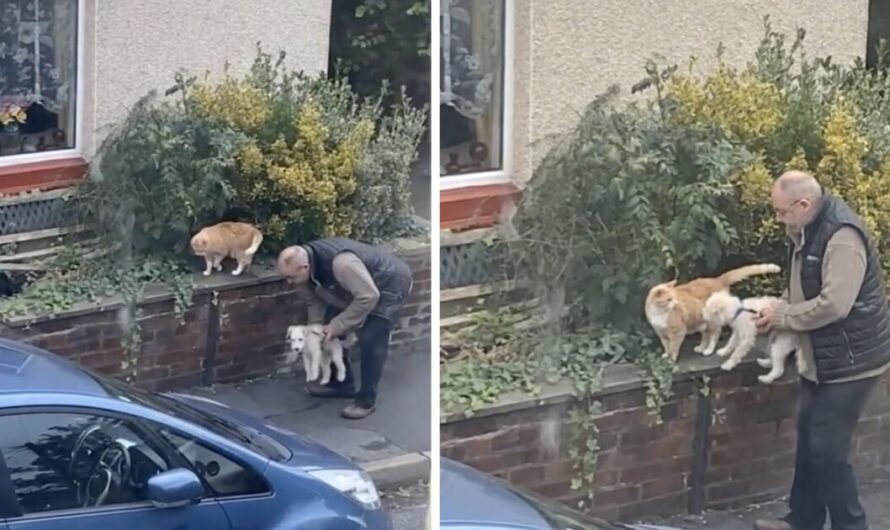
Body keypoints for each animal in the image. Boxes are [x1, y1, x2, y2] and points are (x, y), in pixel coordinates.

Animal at [644, 262, 776, 360]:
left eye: (674, 298)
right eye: (669, 299)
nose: (676, 304)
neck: (659, 312)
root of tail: (718, 279)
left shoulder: (678, 331)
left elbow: (674, 347)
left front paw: (672, 358)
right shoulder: (661, 333)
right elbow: (666, 345)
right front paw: (666, 355)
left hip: (713, 321)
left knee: (714, 335)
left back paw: (708, 350)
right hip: (703, 321)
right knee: (706, 336)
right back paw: (701, 348)